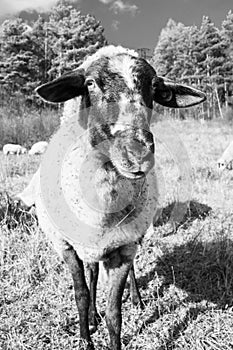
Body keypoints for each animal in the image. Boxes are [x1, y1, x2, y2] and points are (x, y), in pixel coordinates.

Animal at [17, 45, 206, 348]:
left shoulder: (123, 247)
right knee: (92, 274)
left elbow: (115, 313)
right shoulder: (65, 246)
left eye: (155, 87)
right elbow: (81, 295)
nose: (137, 152)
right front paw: (86, 336)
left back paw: (137, 299)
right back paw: (92, 316)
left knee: (130, 270)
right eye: (90, 83)